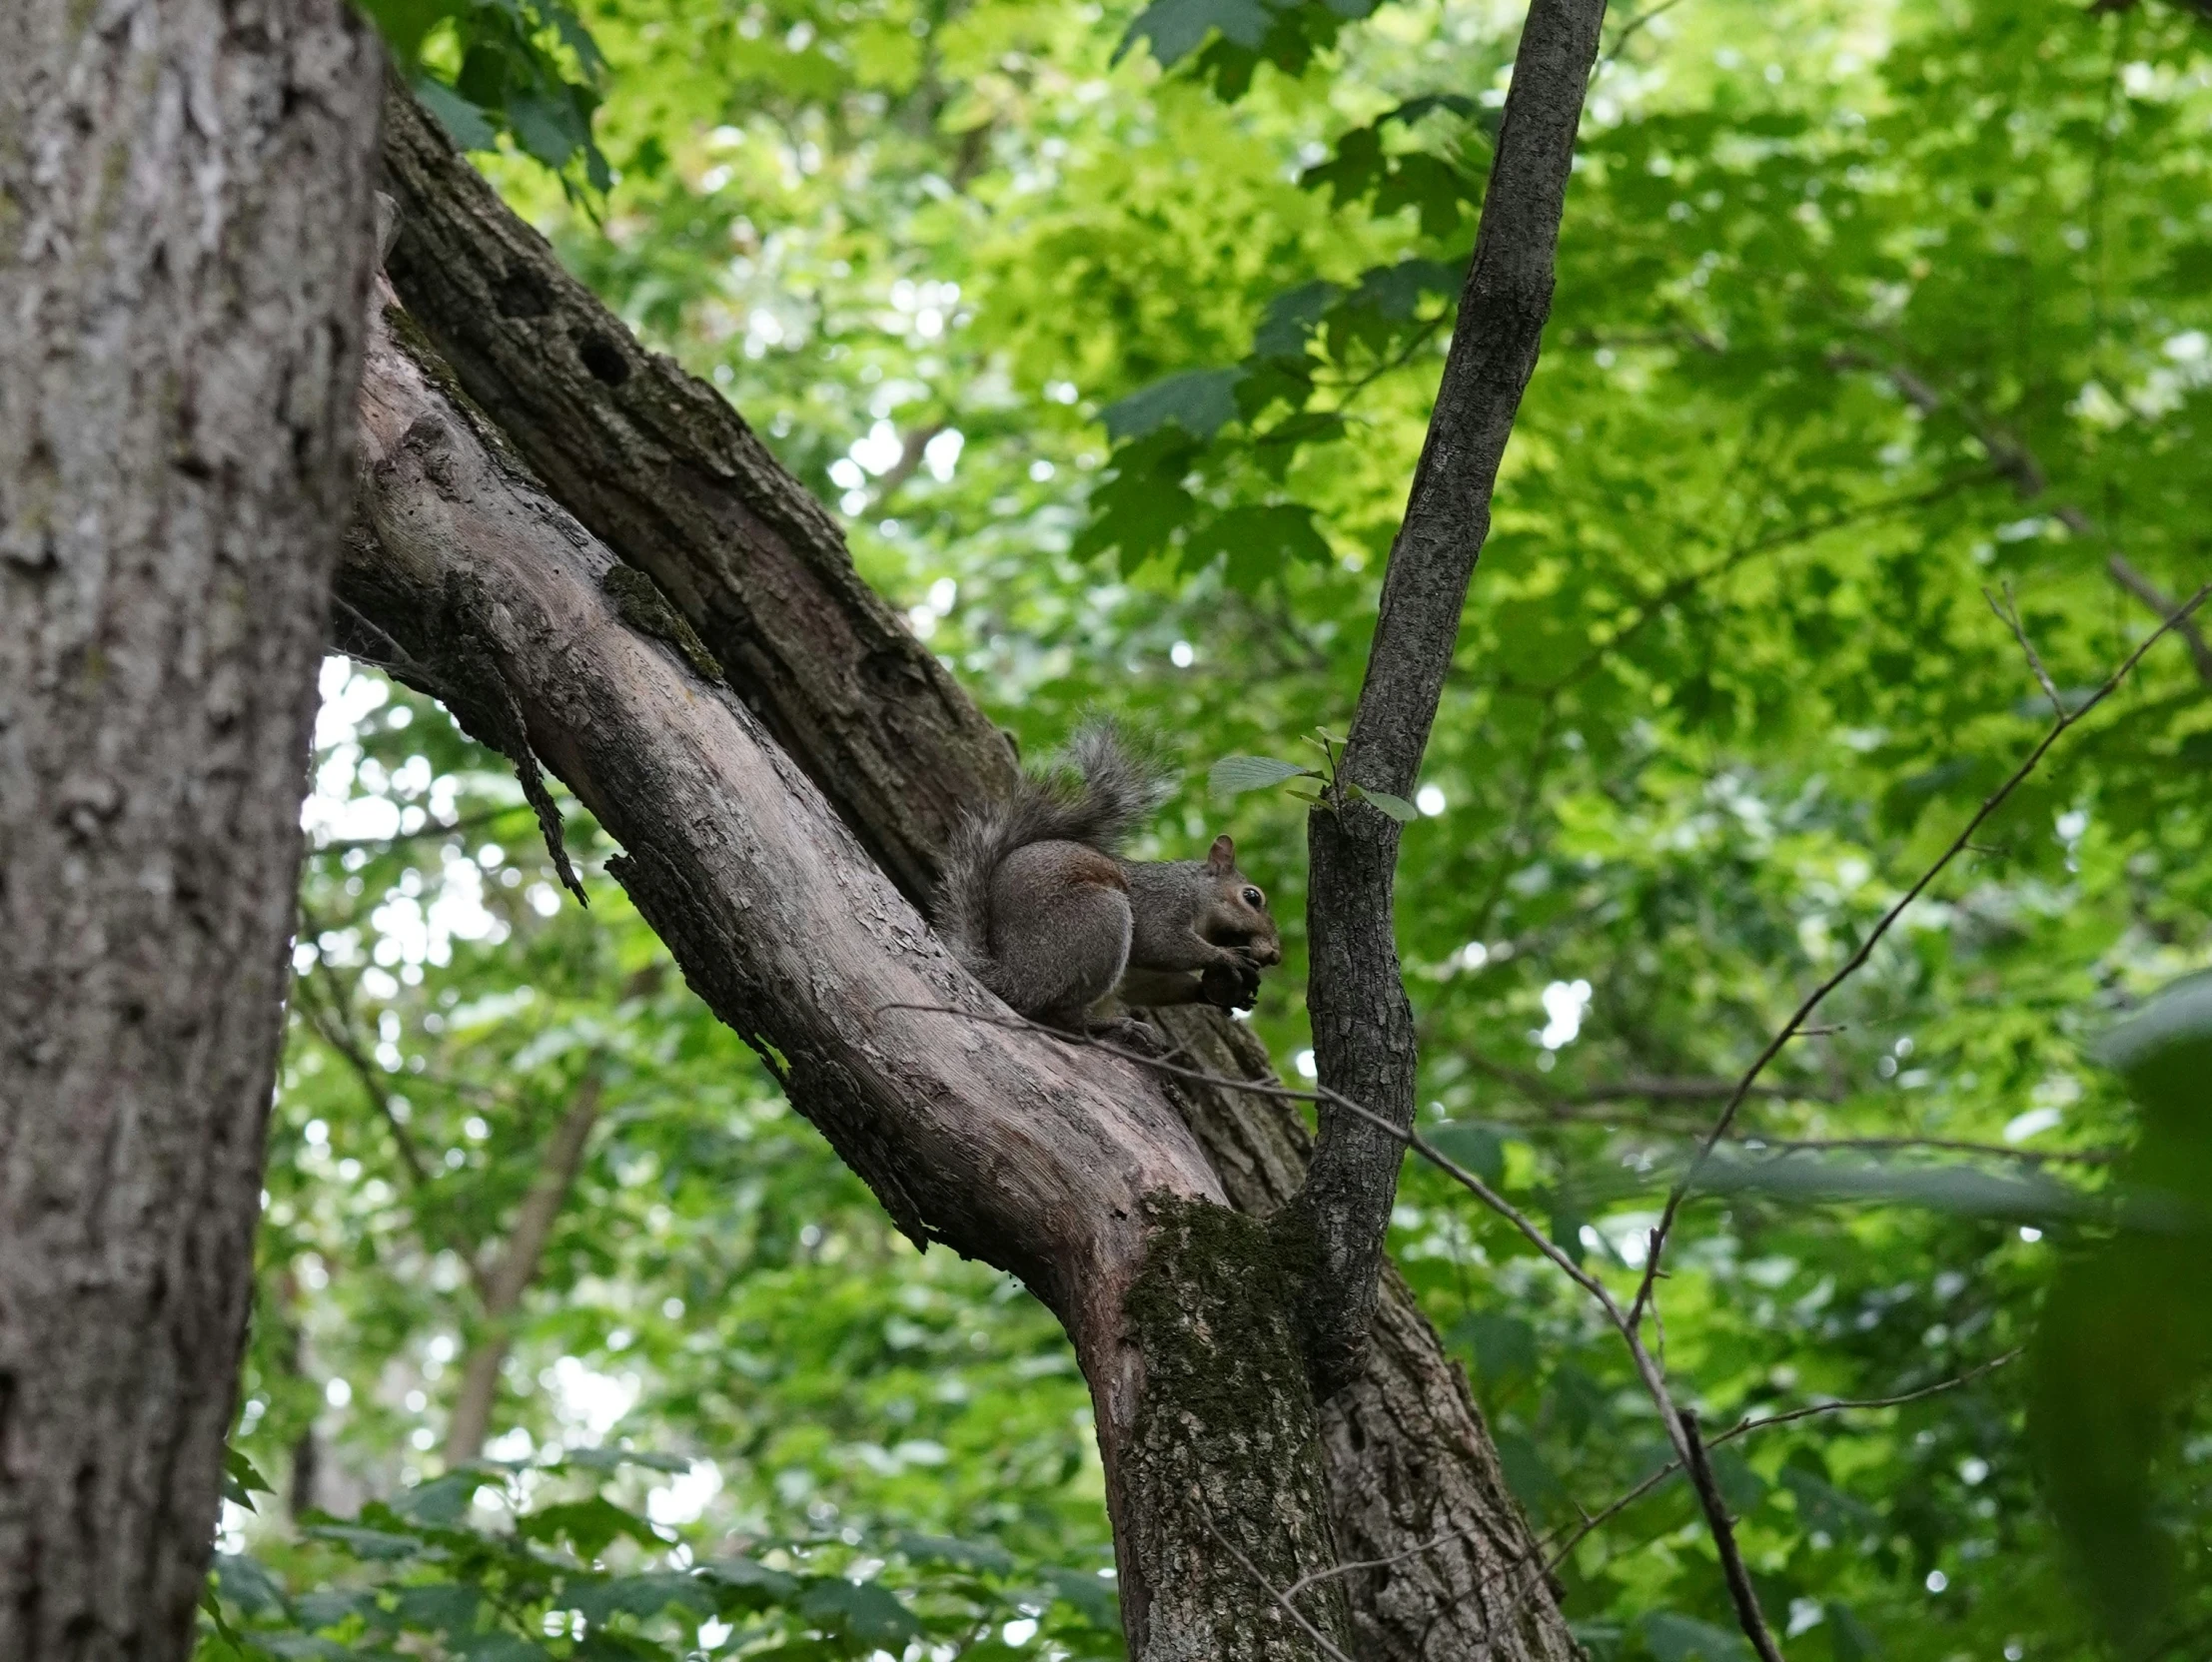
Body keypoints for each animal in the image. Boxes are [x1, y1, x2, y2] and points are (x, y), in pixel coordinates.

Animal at [933, 720, 1283, 1034]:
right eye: (1252, 897)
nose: (1275, 955)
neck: (1198, 899)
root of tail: (1013, 976)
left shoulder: (1141, 975)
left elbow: (1153, 985)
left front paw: (1221, 991)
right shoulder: (1163, 902)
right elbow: (1161, 942)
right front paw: (1226, 957)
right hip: (1099, 920)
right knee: (1059, 1012)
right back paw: (1109, 1024)